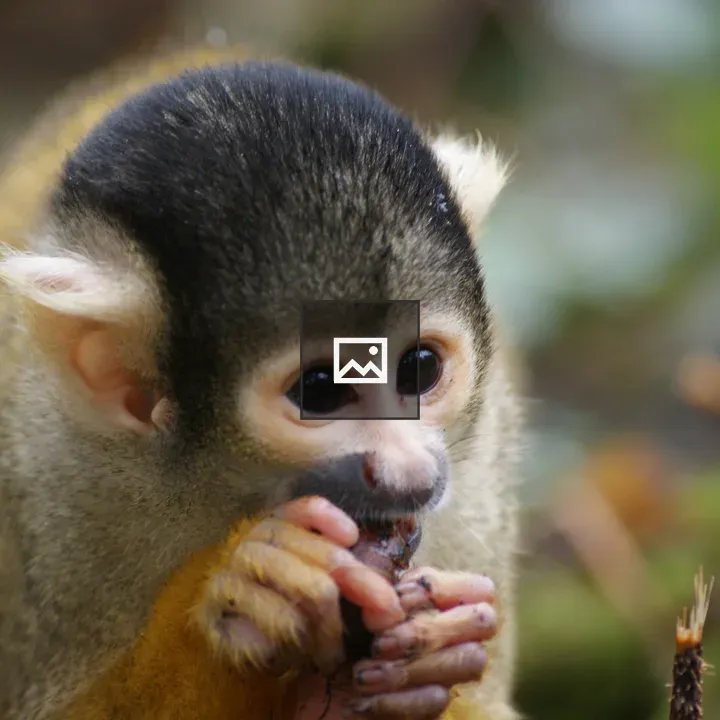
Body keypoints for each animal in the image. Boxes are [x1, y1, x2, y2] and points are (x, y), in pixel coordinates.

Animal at [0, 47, 522, 720]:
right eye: (321, 390)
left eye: (419, 368)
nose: (411, 473)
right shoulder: (51, 488)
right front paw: (239, 602)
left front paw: (432, 658)